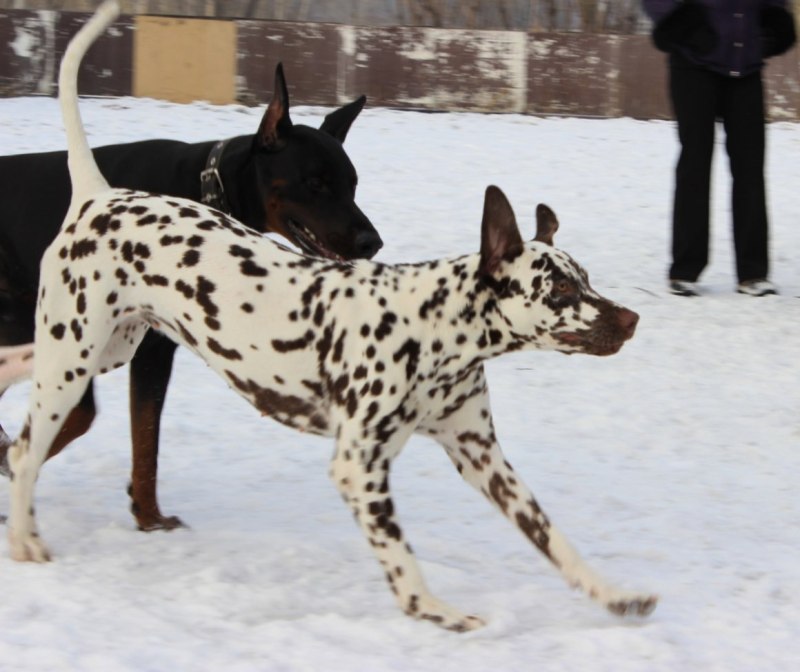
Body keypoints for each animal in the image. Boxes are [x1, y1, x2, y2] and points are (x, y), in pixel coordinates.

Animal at [0, 63, 382, 532]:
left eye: (352, 184)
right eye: (314, 183)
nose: (371, 242)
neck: (207, 184)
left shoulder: (148, 346)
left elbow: (137, 438)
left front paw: (146, 514)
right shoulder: (133, 347)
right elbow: (121, 433)